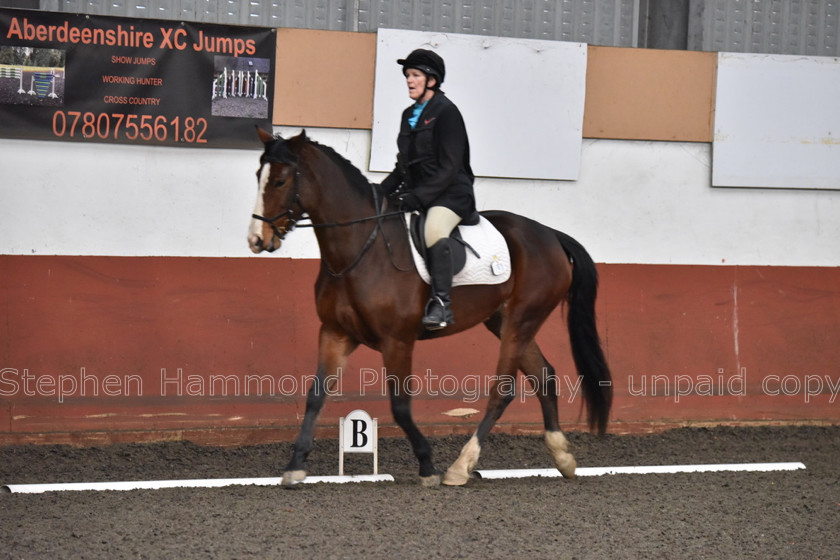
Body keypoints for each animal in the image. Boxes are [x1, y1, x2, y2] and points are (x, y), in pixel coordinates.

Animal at [249, 130, 612, 486]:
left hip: (522, 320)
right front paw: (295, 465)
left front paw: (427, 465)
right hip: (504, 321)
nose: (256, 239)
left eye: (280, 181)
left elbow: (400, 405)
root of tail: (550, 234)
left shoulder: (397, 340)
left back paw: (461, 466)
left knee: (503, 391)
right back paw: (562, 456)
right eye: (258, 176)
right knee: (544, 376)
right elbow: (315, 395)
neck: (361, 249)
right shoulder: (335, 333)